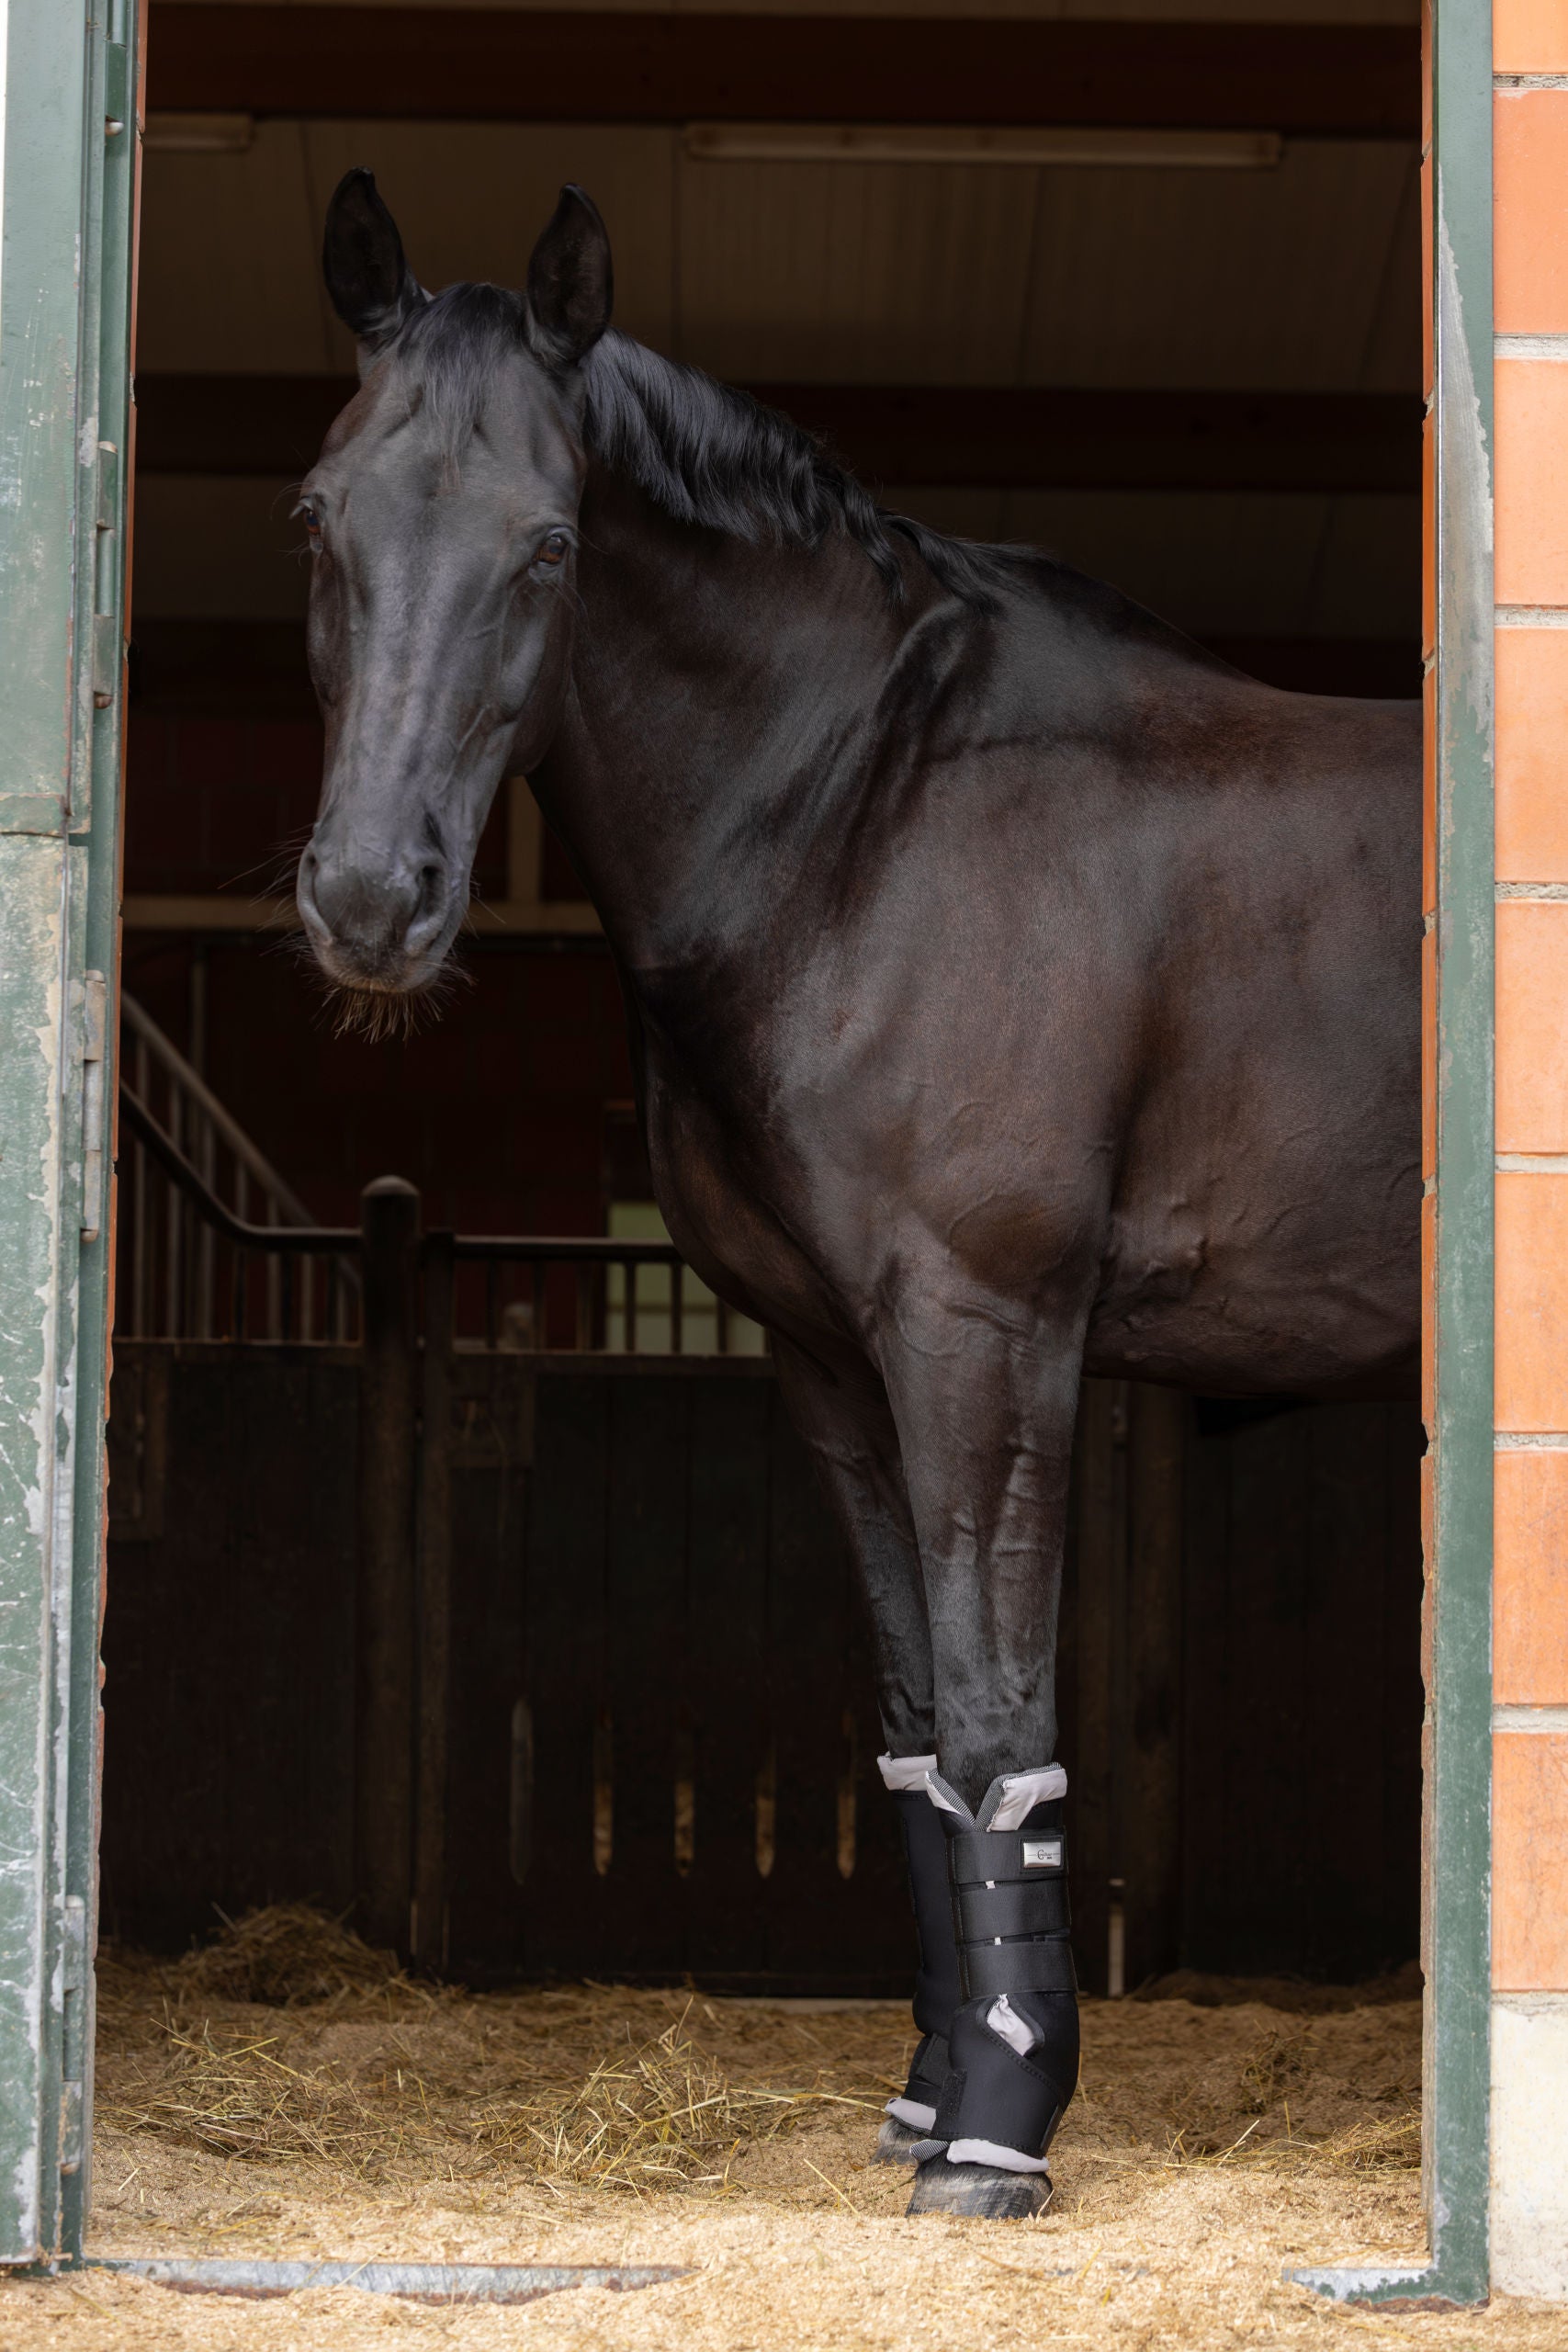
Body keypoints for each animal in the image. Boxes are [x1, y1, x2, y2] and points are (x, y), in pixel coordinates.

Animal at [295, 169, 1421, 2218]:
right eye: (318, 518)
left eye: (549, 540)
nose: (366, 902)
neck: (859, 819)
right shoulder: (829, 1363)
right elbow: (907, 1731)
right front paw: (928, 2088)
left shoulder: (982, 1335)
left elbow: (991, 1725)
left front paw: (995, 2133)